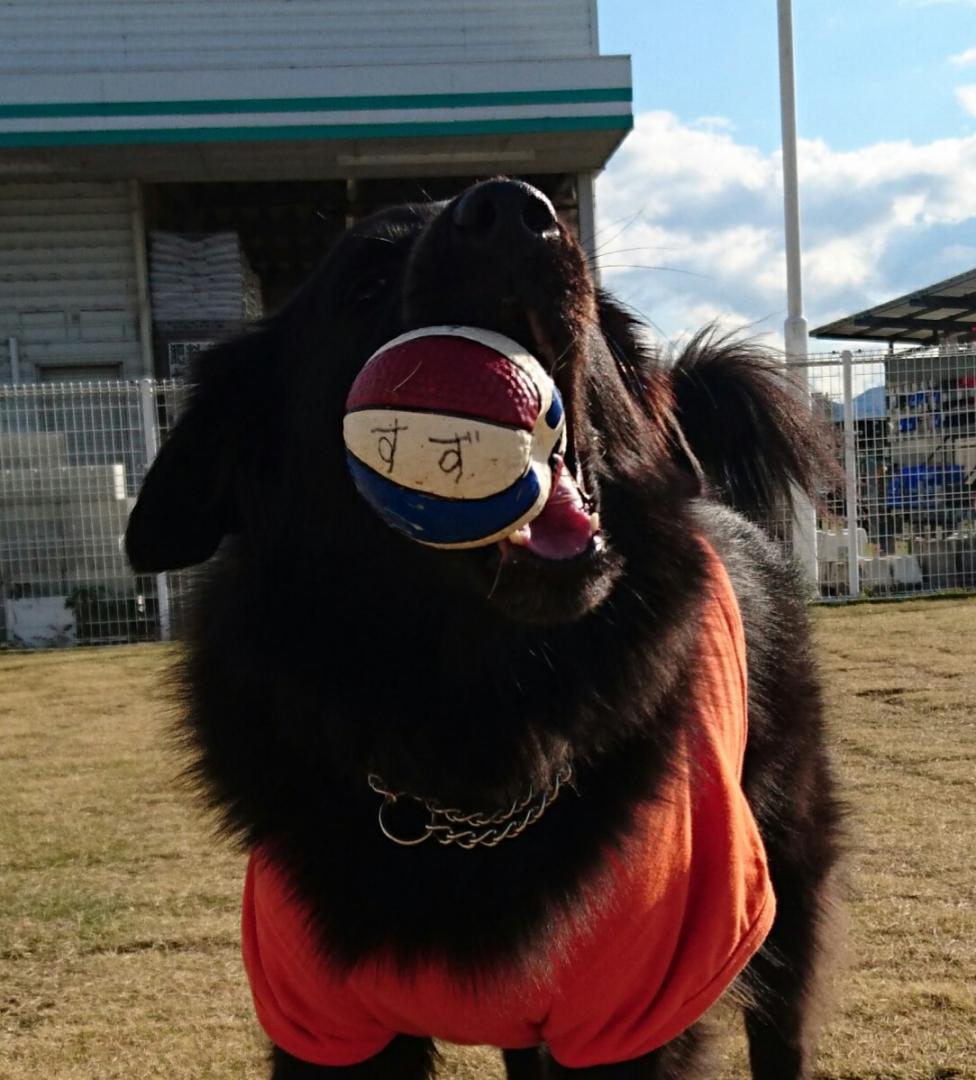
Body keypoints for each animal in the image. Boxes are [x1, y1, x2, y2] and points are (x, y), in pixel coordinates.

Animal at [127, 181, 846, 1075]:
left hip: (782, 882)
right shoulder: (324, 1018)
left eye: (605, 320)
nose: (510, 209)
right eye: (364, 282)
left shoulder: (637, 1004)